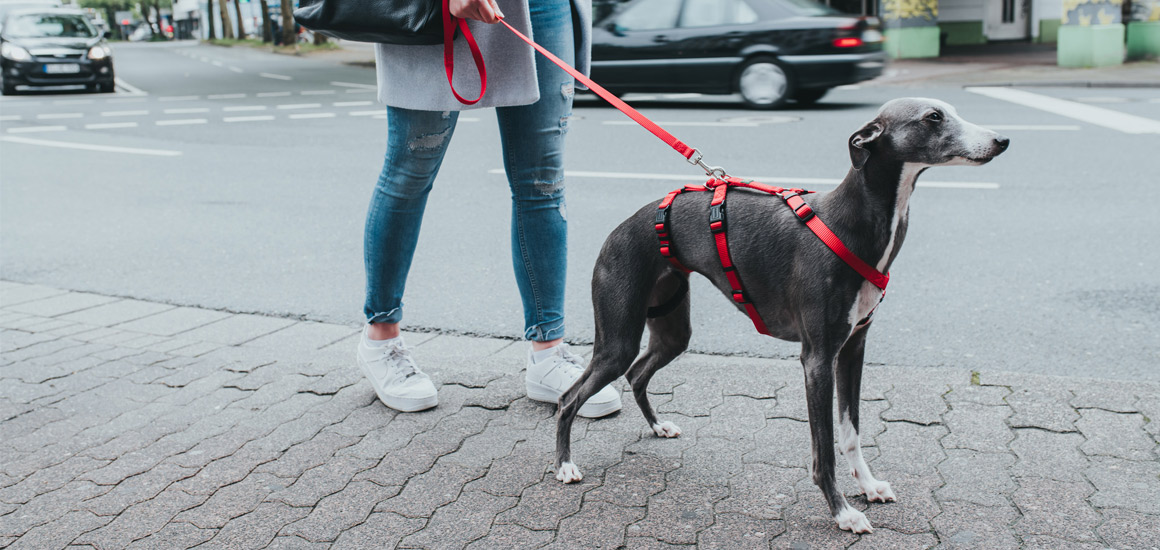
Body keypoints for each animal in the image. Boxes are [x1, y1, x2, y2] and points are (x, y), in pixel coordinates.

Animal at [549, 98, 1006, 533]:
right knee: (570, 397)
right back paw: (565, 465)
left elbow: (851, 433)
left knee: (639, 372)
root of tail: (621, 227)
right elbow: (824, 452)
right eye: (933, 117)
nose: (1002, 140)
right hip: (617, 338)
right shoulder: (817, 359)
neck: (849, 223)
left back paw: (658, 426)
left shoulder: (853, 349)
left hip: (672, 329)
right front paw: (842, 513)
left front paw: (869, 486)